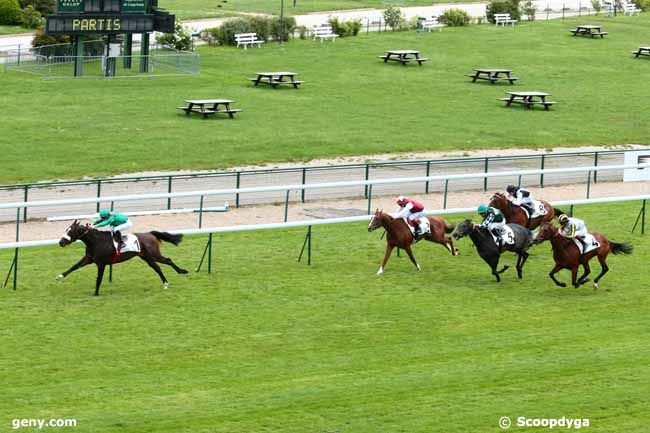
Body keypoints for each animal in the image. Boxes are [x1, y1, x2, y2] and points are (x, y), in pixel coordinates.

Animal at [56, 221, 189, 296]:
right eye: (66, 230)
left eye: (71, 231)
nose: (61, 242)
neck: (96, 242)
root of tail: (150, 234)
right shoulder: (89, 259)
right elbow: (74, 266)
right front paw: (59, 277)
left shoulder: (101, 263)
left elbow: (99, 278)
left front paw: (96, 293)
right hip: (146, 257)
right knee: (161, 264)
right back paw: (175, 276)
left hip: (152, 255)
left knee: (163, 263)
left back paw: (171, 279)